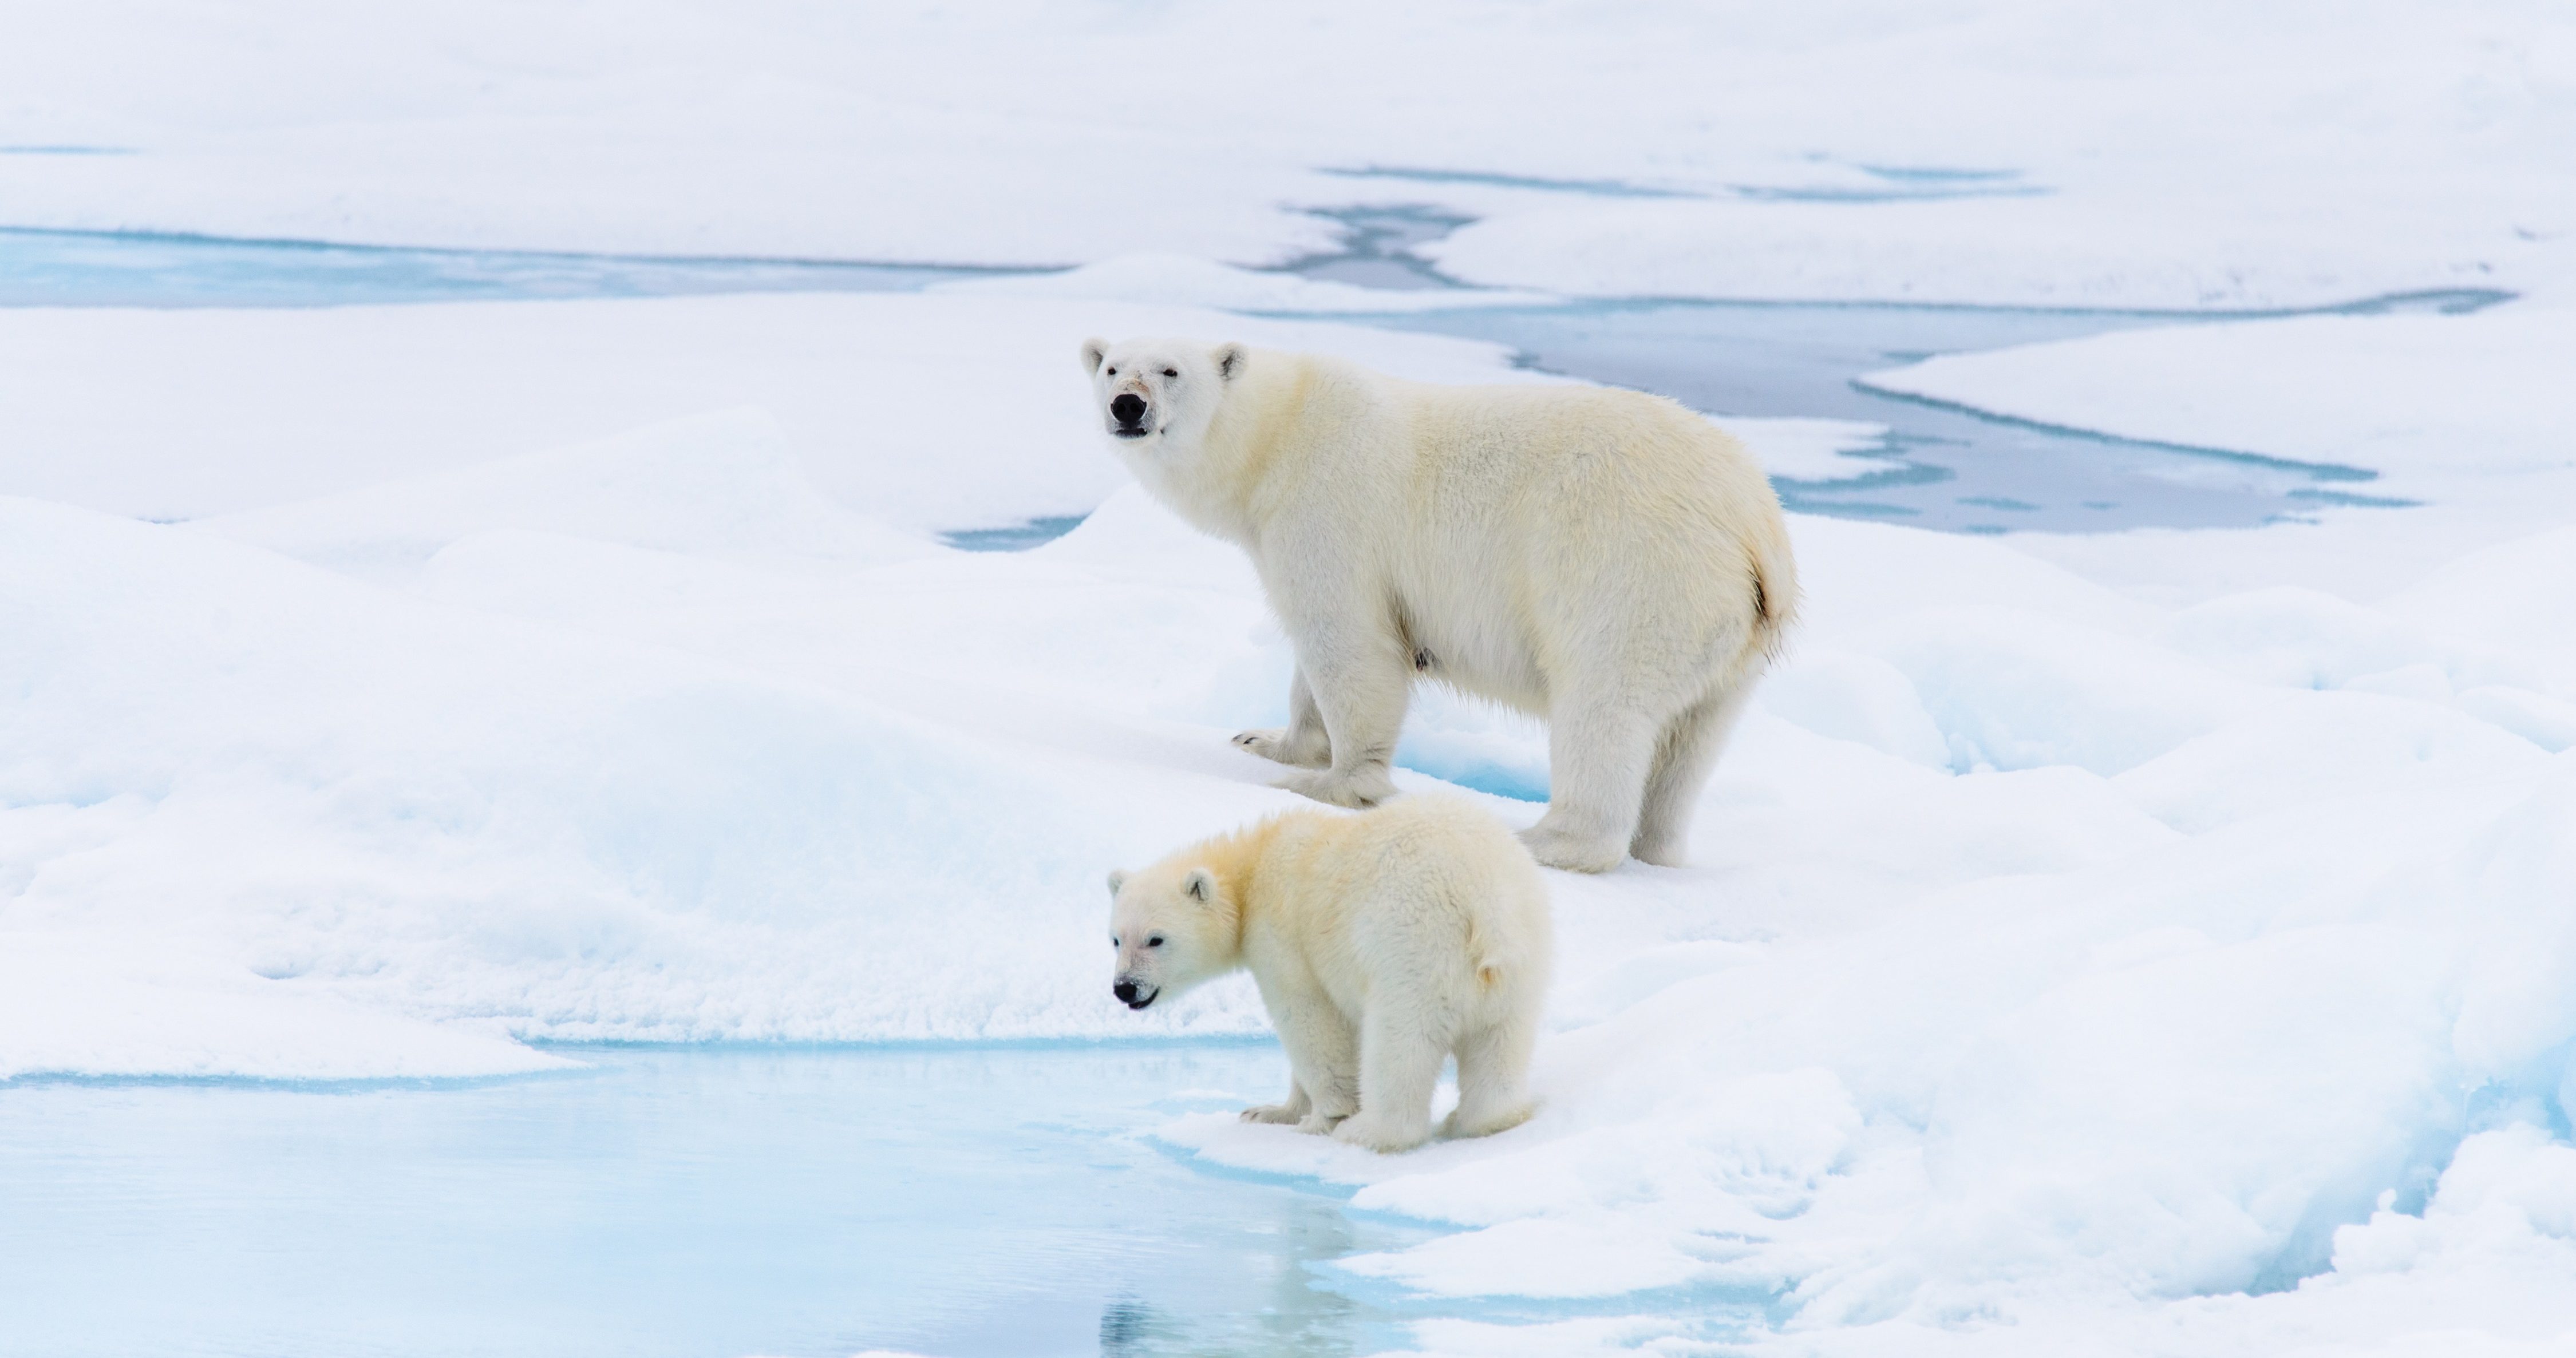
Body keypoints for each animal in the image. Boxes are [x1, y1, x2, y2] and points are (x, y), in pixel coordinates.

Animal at [1082, 335, 1793, 876]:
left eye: (1171, 370)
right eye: (1112, 366)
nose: (1127, 405)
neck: (1281, 432)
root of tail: (1756, 528)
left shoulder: (1329, 508)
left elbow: (1349, 642)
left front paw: (1329, 785)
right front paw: (1266, 741)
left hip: (1633, 575)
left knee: (1604, 707)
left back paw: (1542, 838)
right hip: (1726, 639)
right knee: (1690, 743)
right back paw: (1658, 847)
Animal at [1103, 798, 1546, 1159]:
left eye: (1156, 939)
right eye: (1116, 939)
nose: (1124, 988)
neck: (1253, 865)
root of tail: (1483, 901)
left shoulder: (1284, 937)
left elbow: (1310, 1022)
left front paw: (1322, 1119)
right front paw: (1268, 1112)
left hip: (1414, 952)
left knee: (1399, 1044)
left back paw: (1368, 1131)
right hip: (1518, 967)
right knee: (1501, 1044)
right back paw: (1478, 1121)